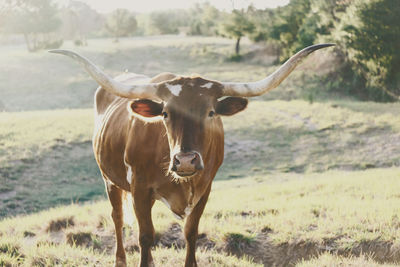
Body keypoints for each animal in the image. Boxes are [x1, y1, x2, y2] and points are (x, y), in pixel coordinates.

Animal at [51, 44, 336, 267]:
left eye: (210, 112)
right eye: (165, 113)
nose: (186, 160)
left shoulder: (205, 187)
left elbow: (190, 232)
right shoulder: (140, 188)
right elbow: (145, 236)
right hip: (109, 179)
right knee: (118, 218)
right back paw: (120, 260)